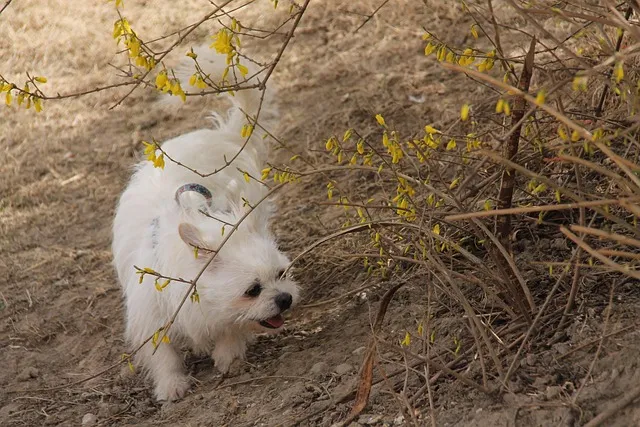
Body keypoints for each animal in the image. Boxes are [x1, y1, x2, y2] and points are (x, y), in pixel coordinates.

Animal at [112, 48, 298, 402]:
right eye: (252, 290)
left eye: (282, 274)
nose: (285, 298)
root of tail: (219, 134)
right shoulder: (152, 317)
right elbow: (164, 356)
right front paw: (171, 385)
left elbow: (231, 329)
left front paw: (228, 357)